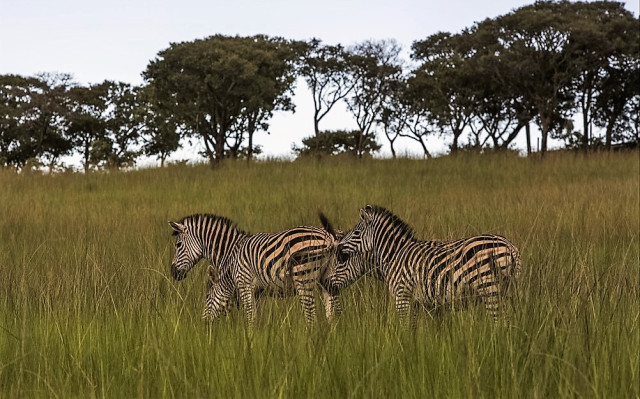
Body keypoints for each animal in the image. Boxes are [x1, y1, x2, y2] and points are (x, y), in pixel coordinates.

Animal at [168, 216, 342, 328]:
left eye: (178, 245)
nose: (173, 272)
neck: (231, 251)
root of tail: (329, 238)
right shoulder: (260, 292)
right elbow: (257, 319)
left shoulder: (245, 284)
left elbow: (250, 318)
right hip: (328, 280)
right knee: (333, 315)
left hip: (304, 277)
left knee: (311, 316)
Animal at [332, 206, 524, 324]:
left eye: (356, 233)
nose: (339, 247)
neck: (394, 254)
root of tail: (510, 246)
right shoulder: (427, 305)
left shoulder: (402, 297)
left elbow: (406, 330)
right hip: (508, 290)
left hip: (490, 289)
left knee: (499, 323)